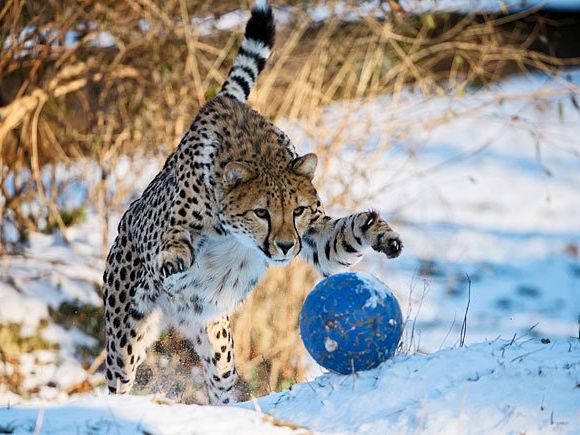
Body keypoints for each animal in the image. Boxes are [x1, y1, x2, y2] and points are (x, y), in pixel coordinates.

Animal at [104, 0, 402, 408]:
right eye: (261, 212)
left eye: (297, 211)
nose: (285, 246)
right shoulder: (160, 230)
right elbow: (173, 240)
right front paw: (176, 259)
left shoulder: (315, 238)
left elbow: (344, 237)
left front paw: (381, 234)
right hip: (126, 330)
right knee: (119, 375)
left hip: (215, 340)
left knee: (220, 381)